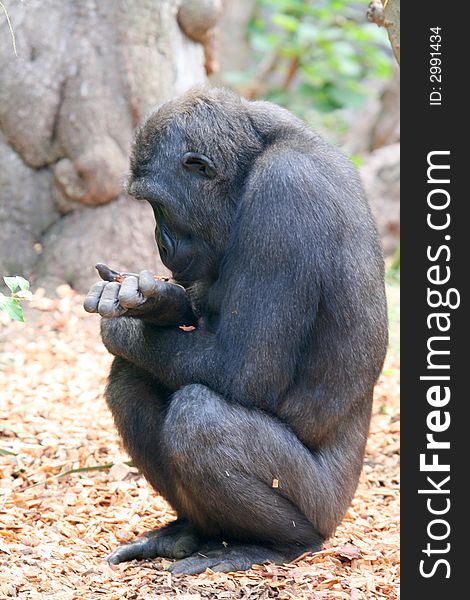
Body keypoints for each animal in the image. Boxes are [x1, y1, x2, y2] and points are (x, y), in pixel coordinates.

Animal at [85, 86, 390, 576]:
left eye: (158, 205)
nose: (159, 242)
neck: (249, 165)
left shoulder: (283, 196)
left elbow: (245, 371)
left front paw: (125, 328)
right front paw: (158, 301)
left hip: (326, 508)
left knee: (200, 419)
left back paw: (277, 545)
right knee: (131, 379)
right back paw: (193, 531)